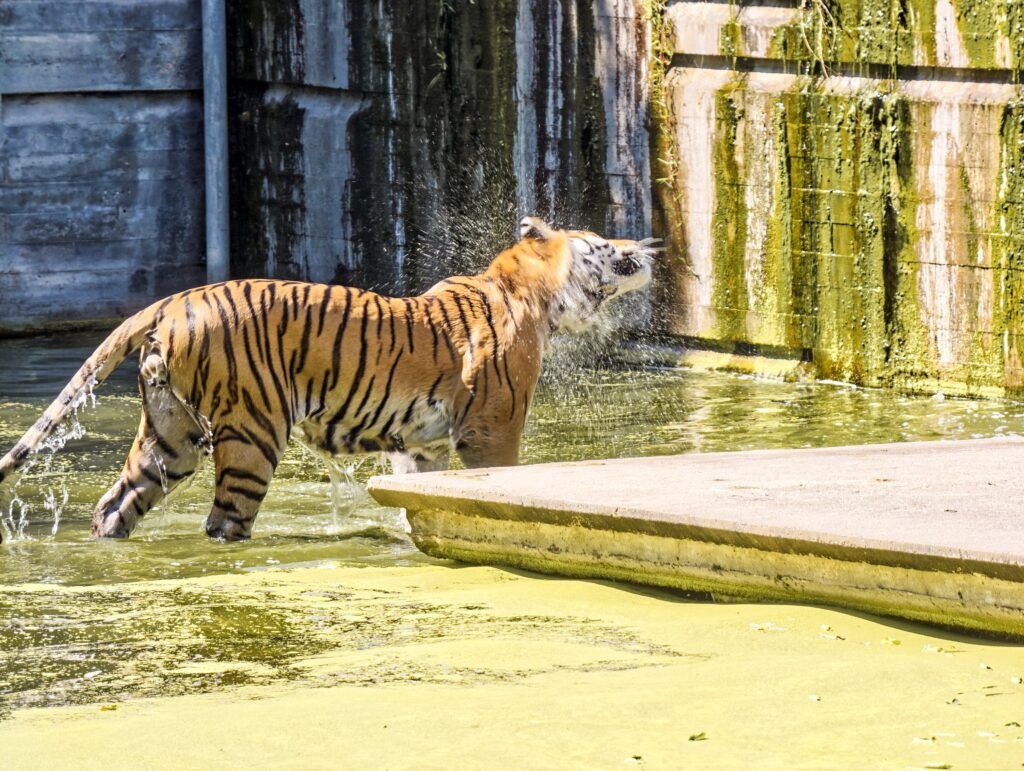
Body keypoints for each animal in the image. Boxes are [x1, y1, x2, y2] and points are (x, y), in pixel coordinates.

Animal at [0, 216, 657, 542]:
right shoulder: (491, 429)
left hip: (170, 434)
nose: (646, 244)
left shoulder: (419, 443)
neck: (529, 291)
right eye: (603, 243)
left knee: (115, 505)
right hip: (252, 434)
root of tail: (170, 302)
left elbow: (421, 493)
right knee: (225, 521)